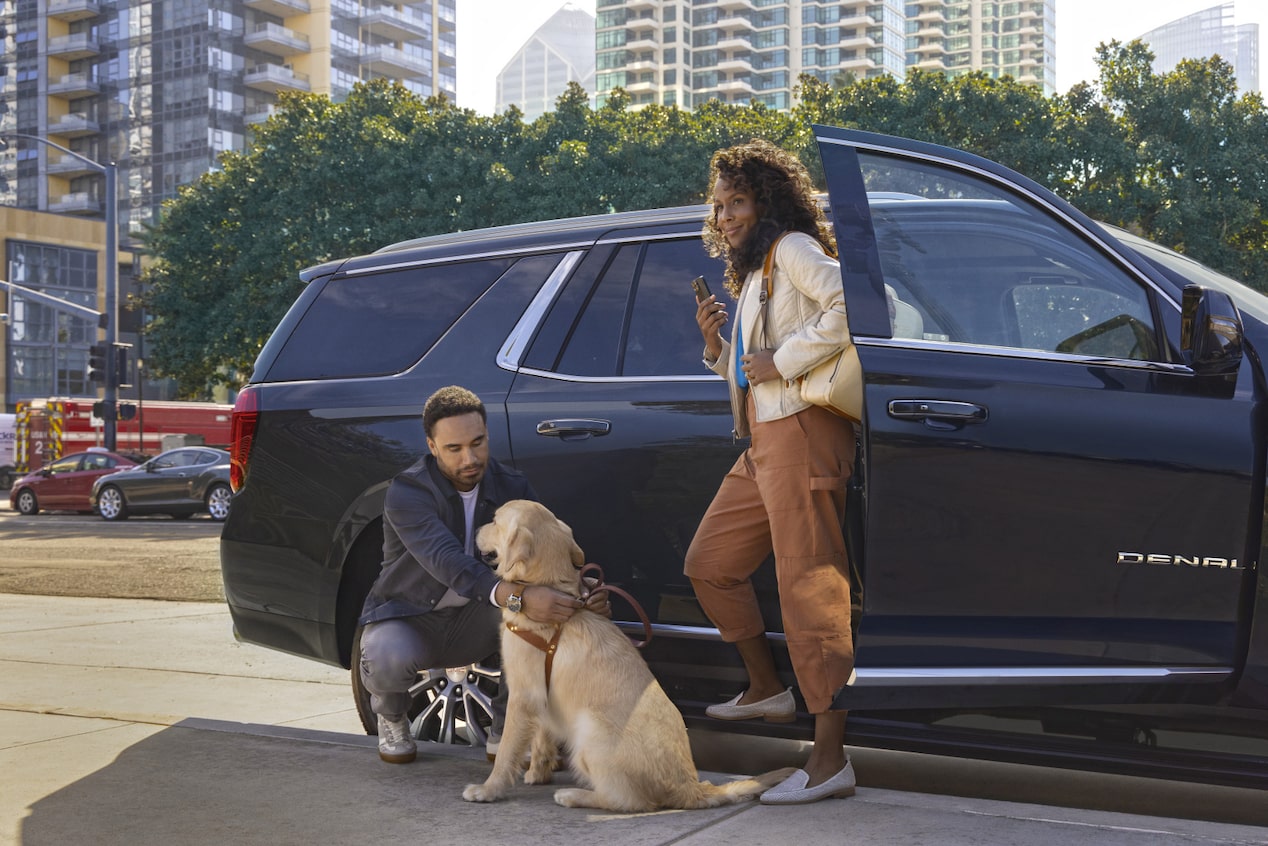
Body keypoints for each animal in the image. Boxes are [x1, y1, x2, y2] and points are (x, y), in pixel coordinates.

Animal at [461, 499, 786, 811]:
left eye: (495, 520)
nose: (475, 526)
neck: (549, 586)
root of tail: (691, 787)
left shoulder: (522, 694)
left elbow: (506, 750)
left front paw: (488, 789)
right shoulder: (540, 694)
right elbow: (542, 737)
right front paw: (538, 773)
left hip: (589, 729)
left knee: (629, 802)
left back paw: (574, 795)